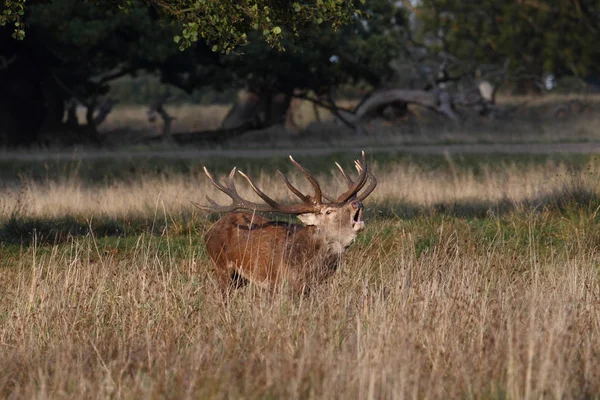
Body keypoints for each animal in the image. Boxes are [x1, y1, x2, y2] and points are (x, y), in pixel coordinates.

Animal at [197, 152, 376, 296]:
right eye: (329, 212)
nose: (357, 203)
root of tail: (209, 231)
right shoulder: (276, 284)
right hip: (221, 267)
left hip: (240, 278)